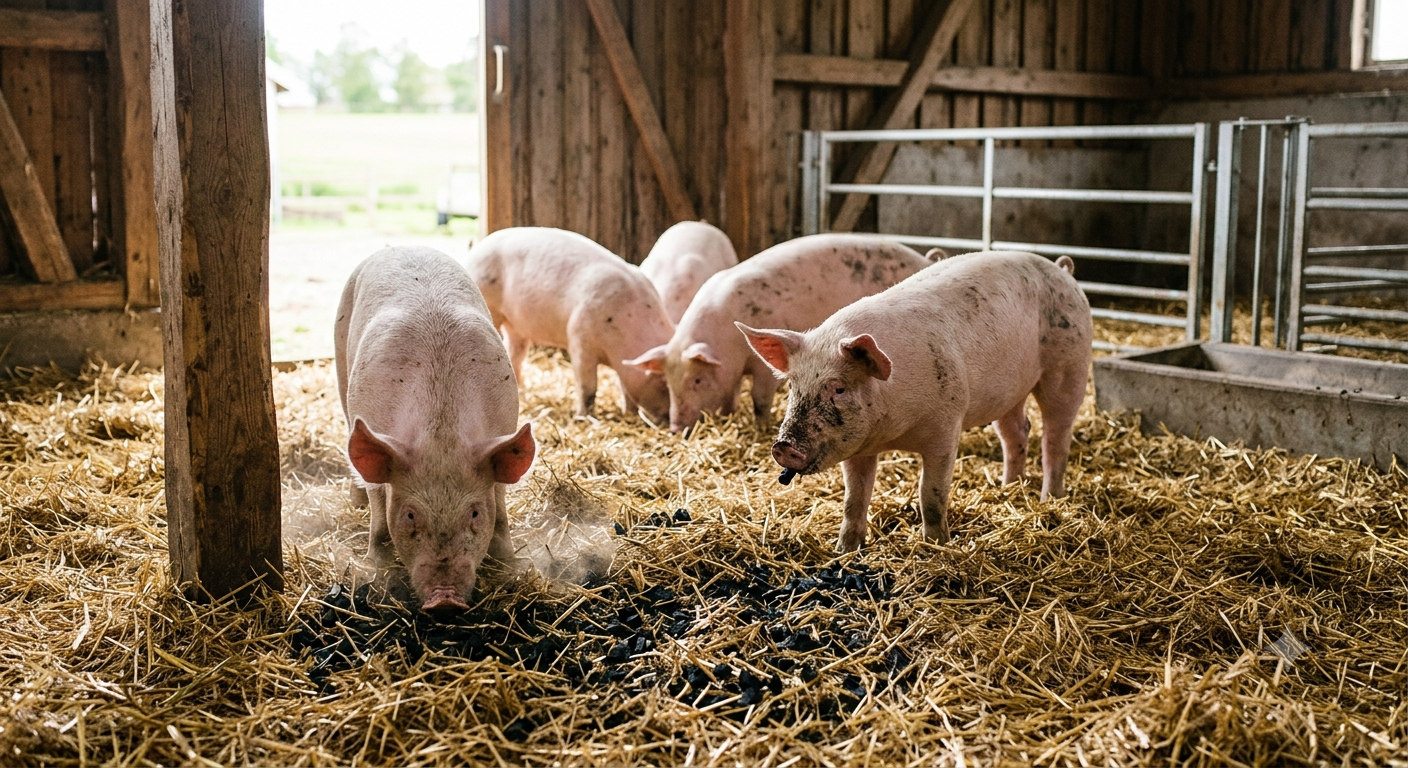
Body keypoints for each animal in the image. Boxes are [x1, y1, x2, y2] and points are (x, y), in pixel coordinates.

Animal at [335, 246, 536, 612]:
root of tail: (402, 245)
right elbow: (378, 506)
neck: (441, 433)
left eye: (474, 512)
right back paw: (355, 502)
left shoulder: (504, 425)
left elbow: (500, 506)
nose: (445, 600)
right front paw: (377, 565)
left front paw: (510, 564)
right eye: (410, 515)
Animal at [465, 227, 673, 424]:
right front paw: (583, 417)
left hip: (516, 326)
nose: (670, 420)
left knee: (515, 352)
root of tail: (477, 249)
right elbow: (587, 387)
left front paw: (629, 413)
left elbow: (624, 387)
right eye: (664, 383)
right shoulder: (579, 338)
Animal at [625, 234, 933, 433]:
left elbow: (759, 399)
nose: (675, 428)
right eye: (668, 383)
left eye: (697, 380)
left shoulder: (763, 369)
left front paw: (761, 426)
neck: (728, 343)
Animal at [738, 250, 1092, 551]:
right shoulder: (857, 446)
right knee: (1017, 431)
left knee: (1055, 437)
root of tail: (1062, 270)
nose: (784, 447)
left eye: (838, 389)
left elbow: (931, 496)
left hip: (1069, 365)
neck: (892, 432)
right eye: (793, 386)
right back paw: (1007, 487)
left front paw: (936, 547)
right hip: (1009, 391)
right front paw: (844, 550)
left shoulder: (946, 427)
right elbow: (854, 498)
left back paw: (1050, 500)